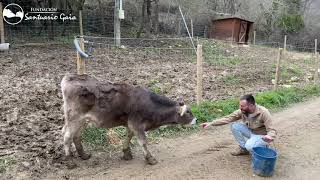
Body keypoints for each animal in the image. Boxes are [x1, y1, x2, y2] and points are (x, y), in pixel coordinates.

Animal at [59, 74, 195, 165]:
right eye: (188, 112)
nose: (195, 120)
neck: (149, 104)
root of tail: (70, 77)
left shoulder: (131, 124)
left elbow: (129, 137)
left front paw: (126, 153)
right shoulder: (137, 124)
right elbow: (143, 142)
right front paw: (150, 159)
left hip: (82, 120)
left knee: (76, 136)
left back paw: (84, 155)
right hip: (74, 118)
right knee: (67, 136)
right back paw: (69, 161)